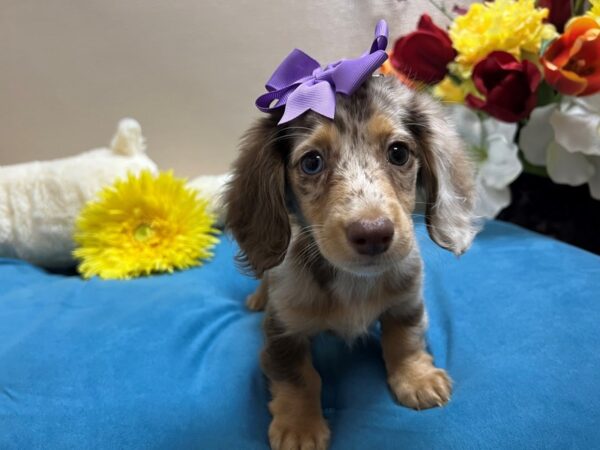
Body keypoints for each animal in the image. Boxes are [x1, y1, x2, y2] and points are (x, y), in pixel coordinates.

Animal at [223, 75, 476, 448]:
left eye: (399, 153)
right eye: (312, 162)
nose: (373, 234)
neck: (354, 282)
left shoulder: (407, 301)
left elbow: (405, 340)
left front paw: (417, 378)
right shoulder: (283, 330)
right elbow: (298, 375)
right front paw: (300, 426)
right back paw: (257, 298)